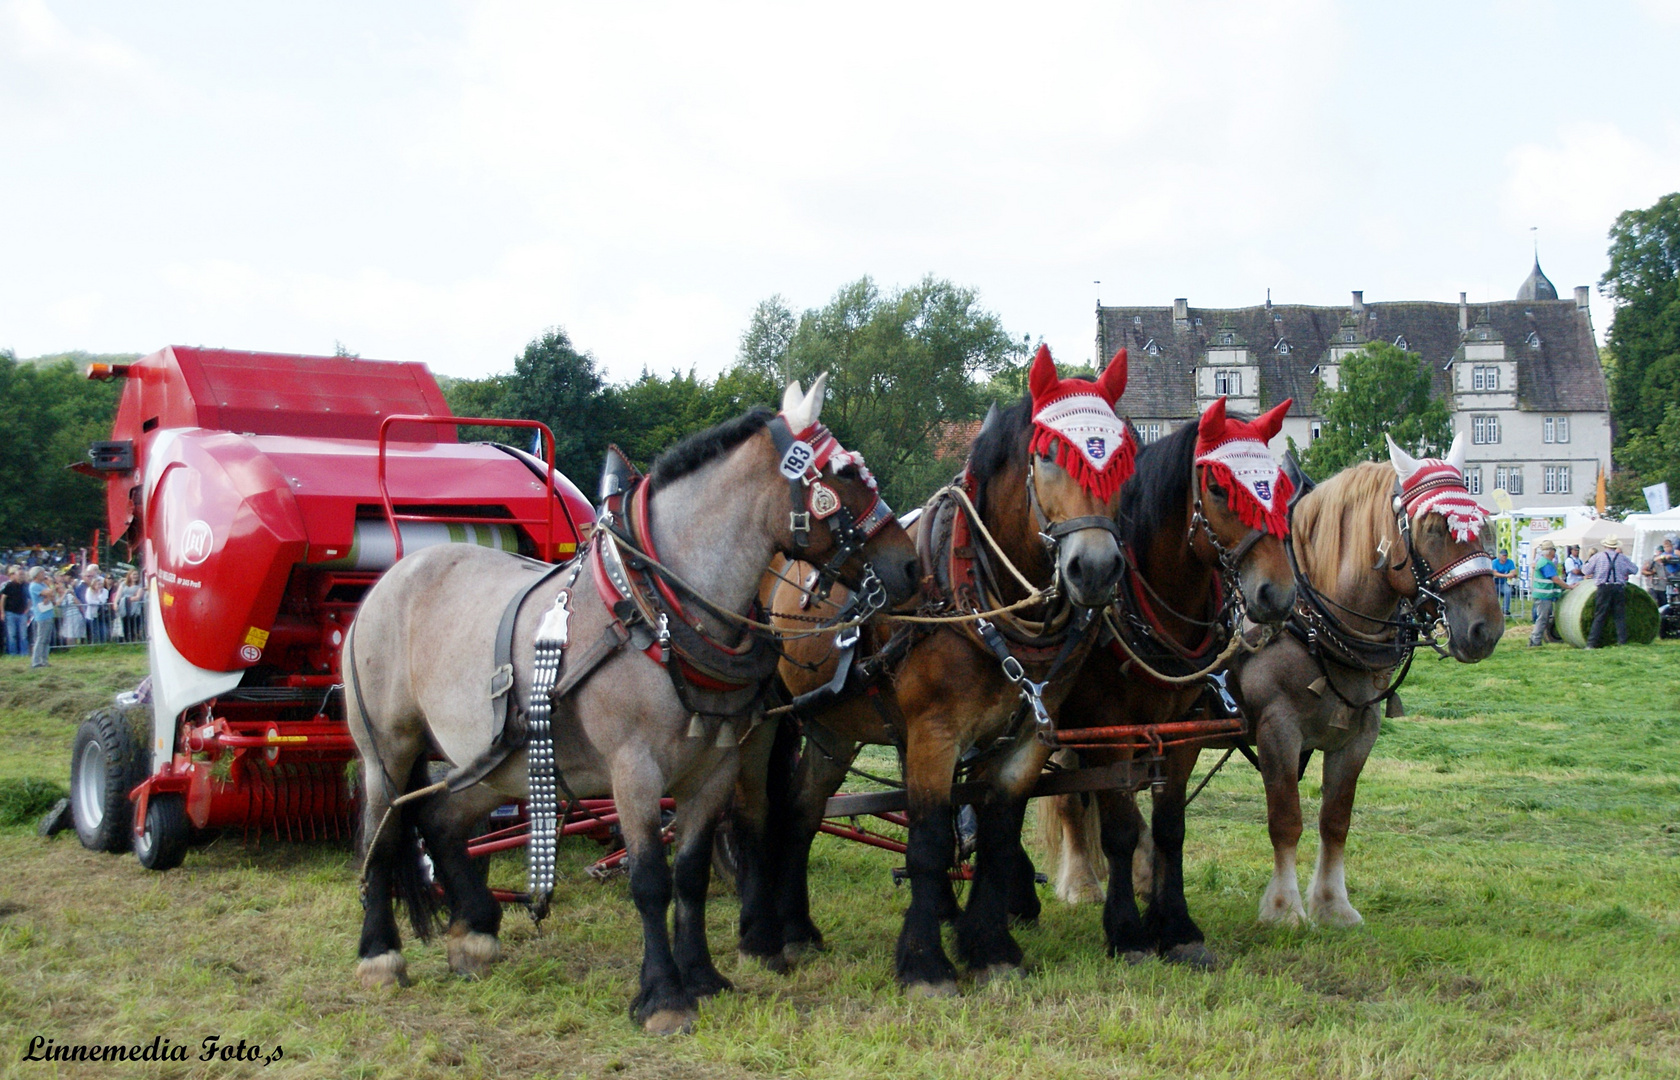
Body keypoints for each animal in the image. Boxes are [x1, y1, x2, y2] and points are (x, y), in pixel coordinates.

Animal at [742, 346, 1135, 994]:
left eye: (1123, 459)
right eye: (1049, 456)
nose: (1097, 568)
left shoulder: (1026, 741)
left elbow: (998, 836)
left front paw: (991, 947)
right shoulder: (934, 733)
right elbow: (927, 841)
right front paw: (926, 962)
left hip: (830, 728)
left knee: (802, 809)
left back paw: (798, 929)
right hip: (762, 720)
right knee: (750, 808)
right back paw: (760, 931)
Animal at [1034, 399, 1296, 974]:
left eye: (1280, 485)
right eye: (1218, 488)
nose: (1277, 594)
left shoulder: (1182, 731)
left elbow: (1170, 826)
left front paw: (1175, 926)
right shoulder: (1106, 730)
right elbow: (1118, 828)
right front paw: (1127, 931)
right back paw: (1074, 884)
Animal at [1236, 436, 1498, 927]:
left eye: (1482, 526)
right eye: (1433, 528)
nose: (1485, 630)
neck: (1313, 617)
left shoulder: (1359, 732)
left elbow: (1335, 819)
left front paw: (1332, 905)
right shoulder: (1276, 729)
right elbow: (1286, 820)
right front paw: (1284, 909)